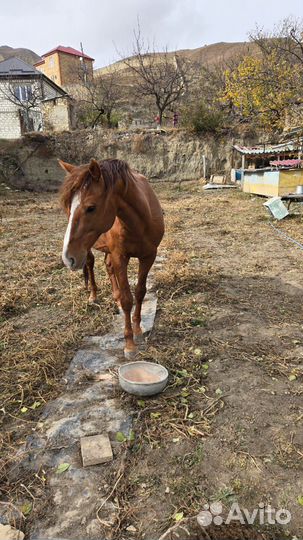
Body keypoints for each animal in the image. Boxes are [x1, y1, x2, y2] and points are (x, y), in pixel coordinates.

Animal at [59, 158, 164, 356]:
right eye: (68, 207)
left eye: (91, 208)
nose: (67, 258)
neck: (140, 221)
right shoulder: (120, 257)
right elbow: (127, 299)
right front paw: (129, 344)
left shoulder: (149, 256)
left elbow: (140, 292)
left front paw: (138, 329)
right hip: (88, 249)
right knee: (91, 264)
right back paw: (93, 295)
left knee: (108, 267)